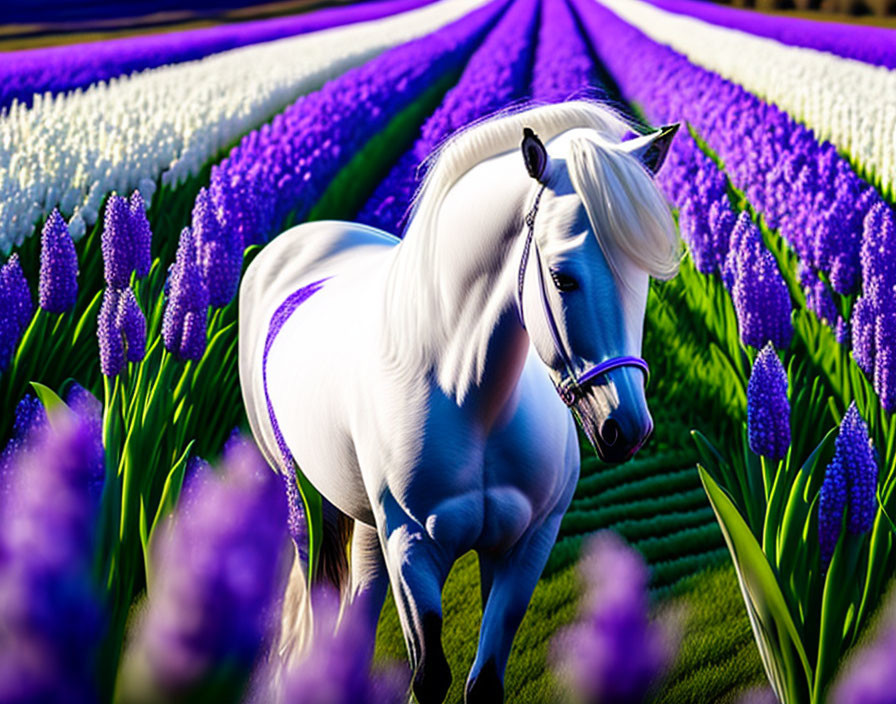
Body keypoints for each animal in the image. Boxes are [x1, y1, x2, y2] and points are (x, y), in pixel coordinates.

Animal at [238, 100, 680, 704]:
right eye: (562, 278)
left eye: (643, 278)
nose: (627, 428)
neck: (470, 400)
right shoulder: (413, 548)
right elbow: (430, 677)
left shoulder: (525, 548)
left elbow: (485, 683)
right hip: (306, 511)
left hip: (369, 526)